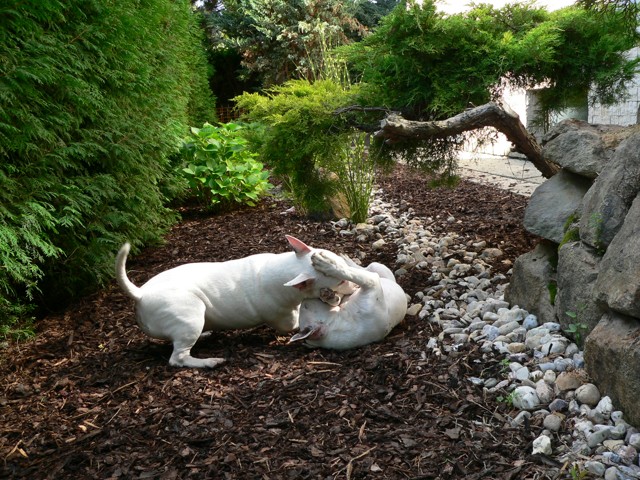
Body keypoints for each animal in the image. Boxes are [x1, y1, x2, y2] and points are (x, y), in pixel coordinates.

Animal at [115, 236, 355, 368]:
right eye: (341, 280)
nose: (353, 286)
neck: (284, 271)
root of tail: (141, 293)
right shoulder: (283, 320)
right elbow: (296, 323)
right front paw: (330, 297)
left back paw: (205, 335)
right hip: (190, 315)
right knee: (178, 358)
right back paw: (209, 362)